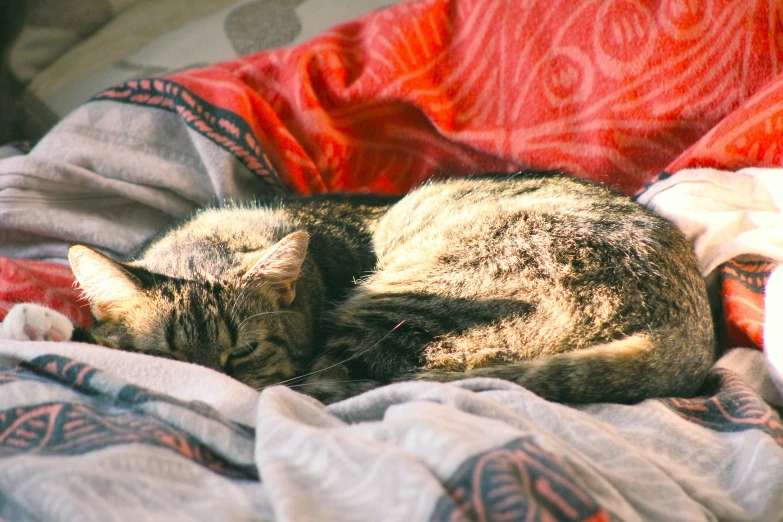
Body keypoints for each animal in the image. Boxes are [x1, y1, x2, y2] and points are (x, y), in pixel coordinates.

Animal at [3, 172, 720, 402]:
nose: (213, 385)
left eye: (243, 354)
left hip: (404, 301)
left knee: (334, 390)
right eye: (167, 357)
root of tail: (687, 329)